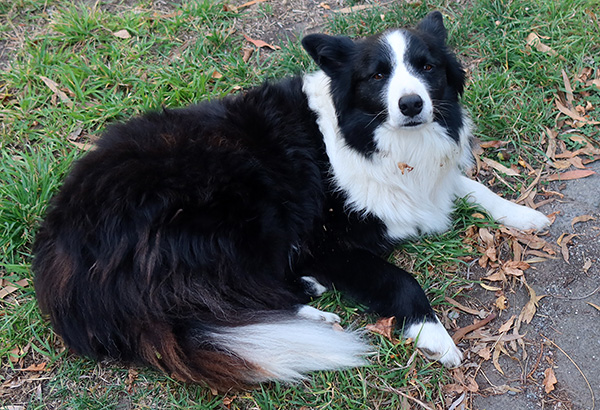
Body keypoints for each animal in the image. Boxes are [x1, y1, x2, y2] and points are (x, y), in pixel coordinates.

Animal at [32, 11, 548, 390]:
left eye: (427, 67)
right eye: (378, 74)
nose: (411, 105)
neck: (374, 139)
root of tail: (59, 247)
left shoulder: (424, 182)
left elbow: (471, 186)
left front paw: (522, 214)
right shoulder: (325, 241)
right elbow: (400, 279)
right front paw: (434, 335)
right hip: (243, 208)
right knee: (209, 303)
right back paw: (311, 313)